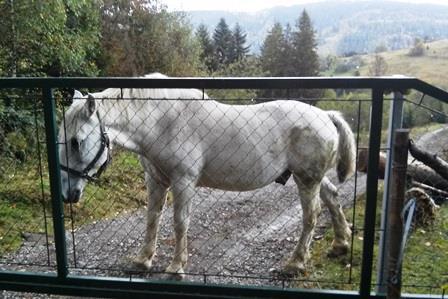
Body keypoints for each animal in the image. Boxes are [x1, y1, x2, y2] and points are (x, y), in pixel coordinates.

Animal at [57, 73, 356, 282]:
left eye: (76, 142)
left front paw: (176, 267)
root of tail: (325, 115)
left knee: (311, 216)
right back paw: (340, 243)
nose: (68, 194)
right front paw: (143, 260)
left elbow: (180, 223)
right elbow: (152, 218)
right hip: (310, 178)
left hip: (306, 180)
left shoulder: (183, 181)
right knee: (332, 196)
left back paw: (295, 263)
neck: (161, 120)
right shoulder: (156, 181)